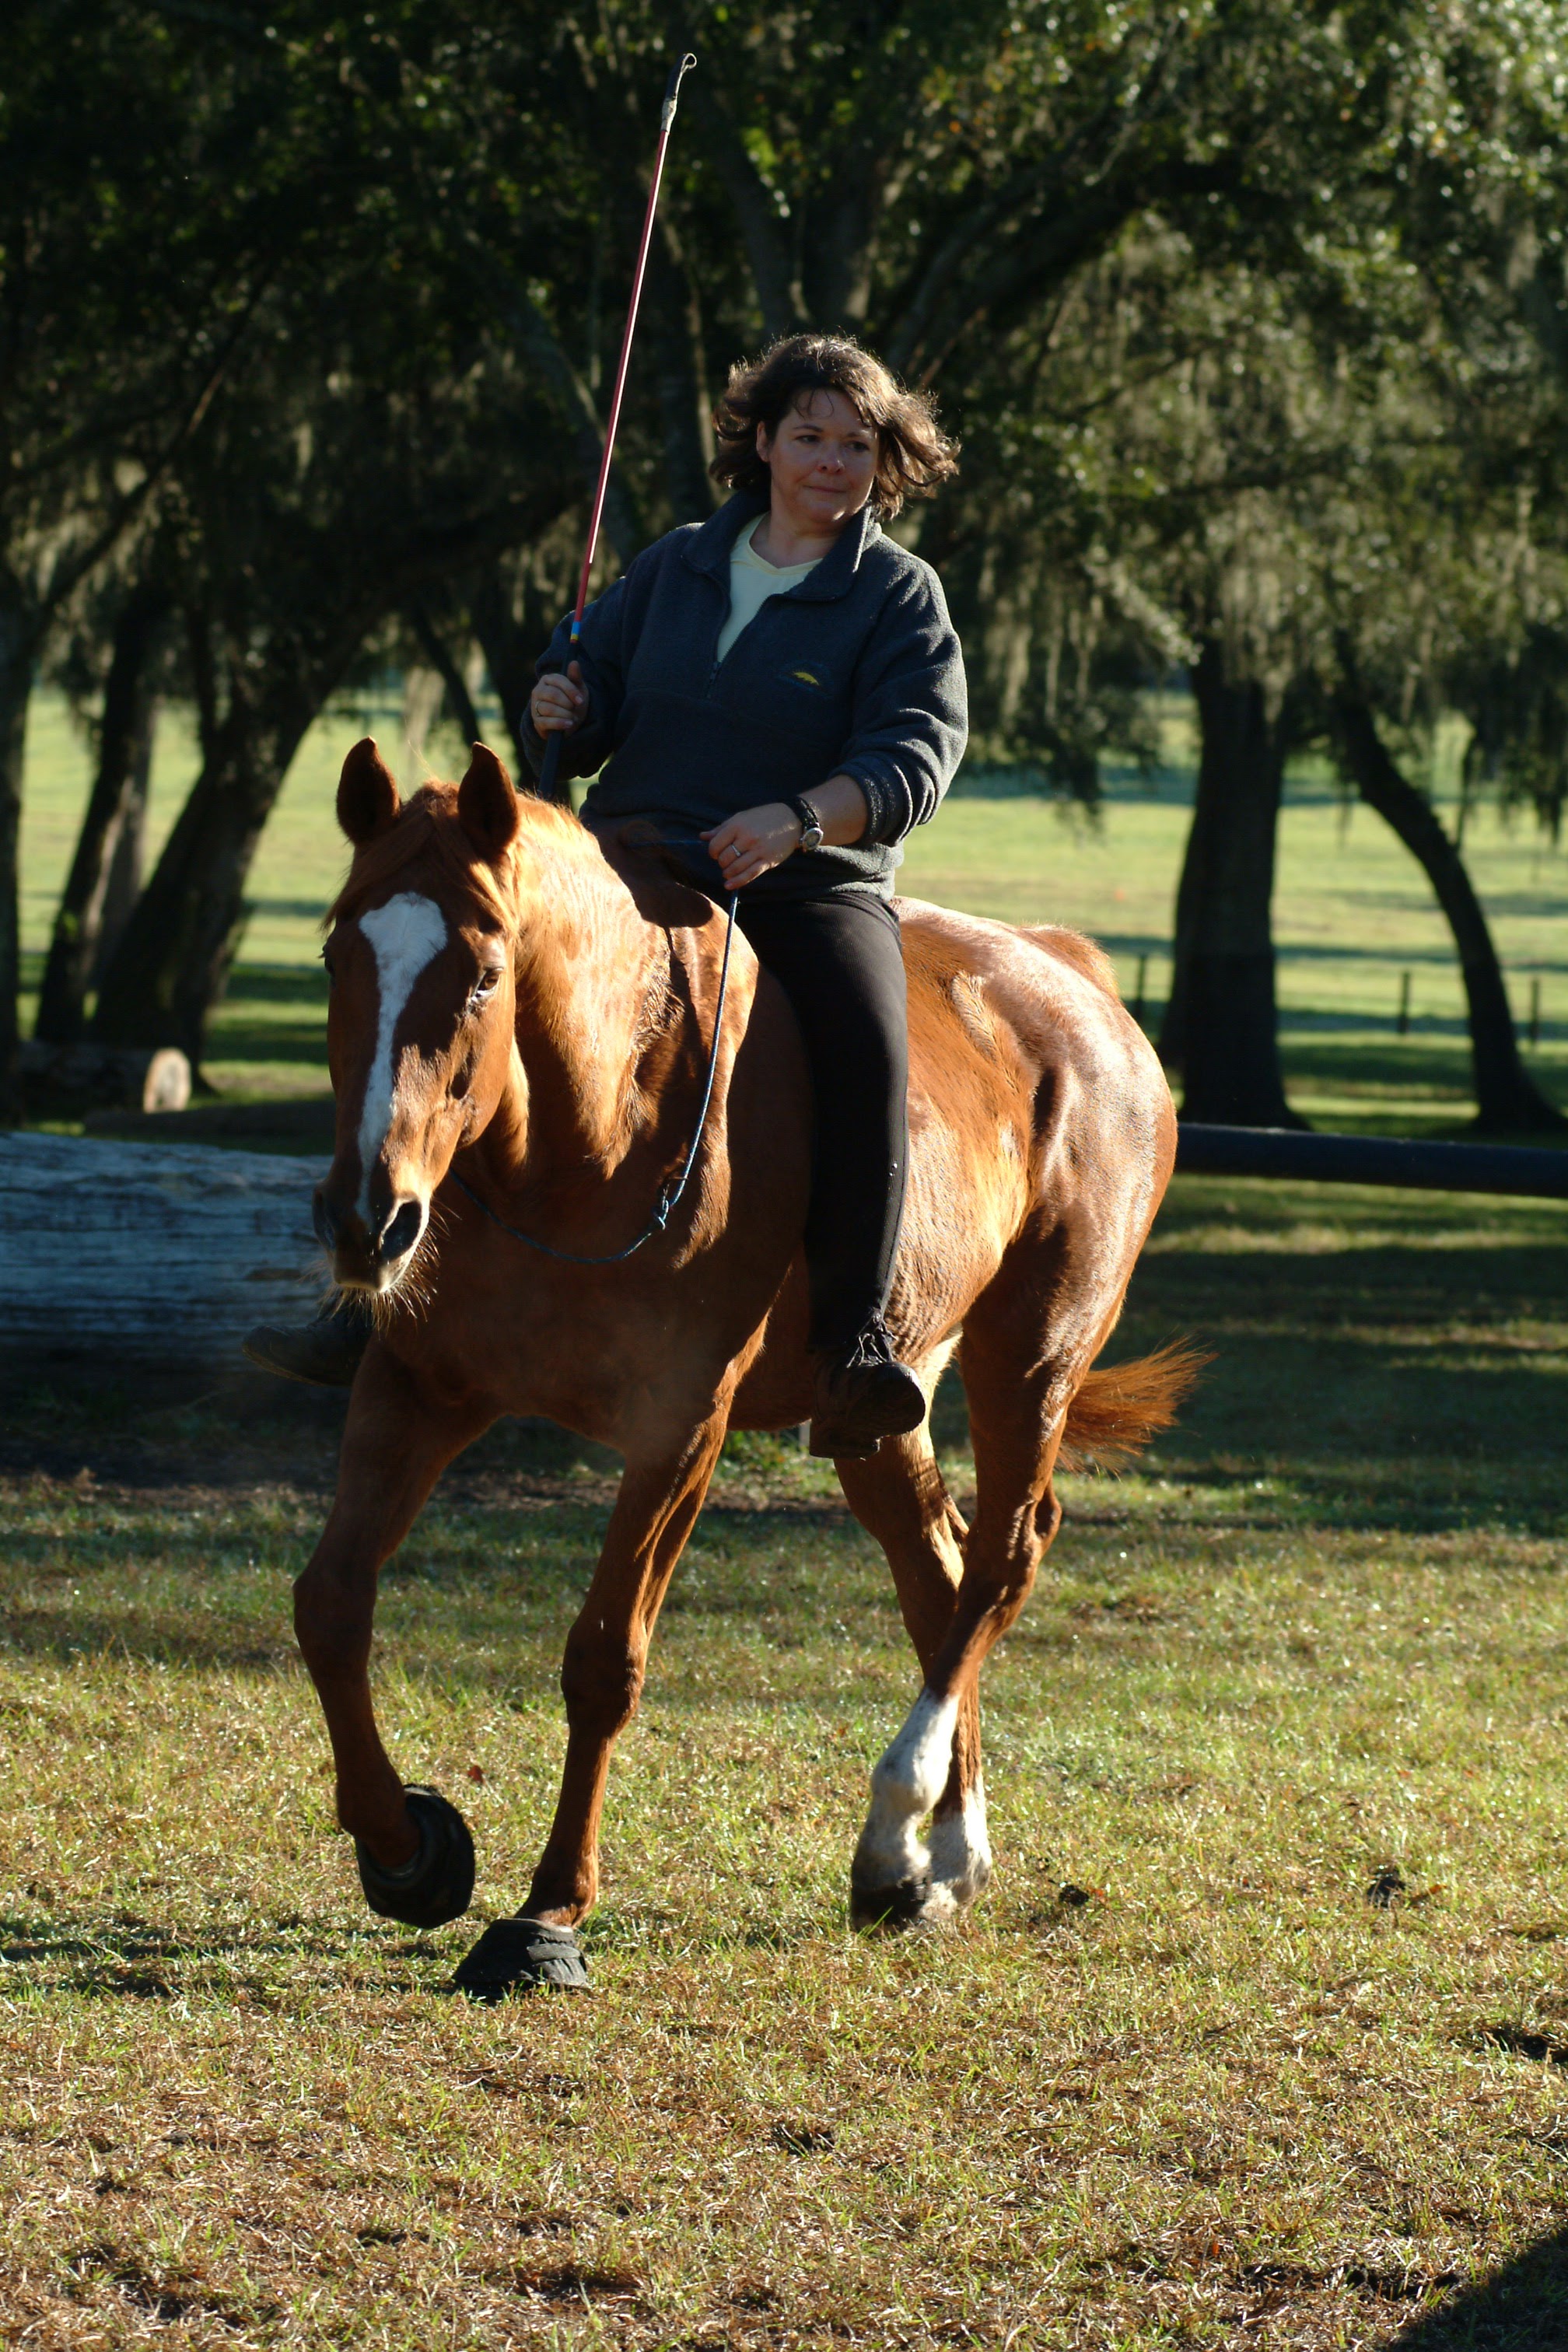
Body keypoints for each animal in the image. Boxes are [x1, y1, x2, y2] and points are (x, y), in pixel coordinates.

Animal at [292, 737, 1195, 1998]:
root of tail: (1075, 978)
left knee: (1004, 1557)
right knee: (938, 1566)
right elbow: (331, 1605)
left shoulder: (680, 1427)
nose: (367, 1221)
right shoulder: (418, 1388)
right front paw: (409, 1851)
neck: (589, 1138)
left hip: (1033, 1358)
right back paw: (938, 1859)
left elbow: (604, 1659)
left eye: (479, 973)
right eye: (342, 951)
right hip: (884, 1404)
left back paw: (897, 1821)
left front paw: (547, 1916)